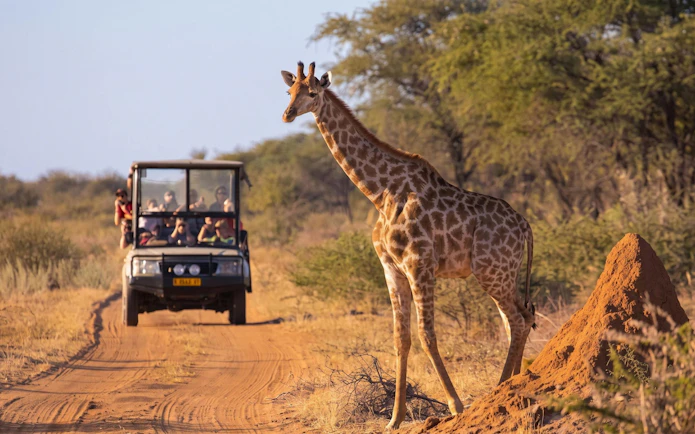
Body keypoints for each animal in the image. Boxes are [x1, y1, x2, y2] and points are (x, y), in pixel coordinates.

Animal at [281, 62, 535, 430]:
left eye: (312, 93)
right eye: (289, 91)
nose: (287, 114)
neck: (380, 194)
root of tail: (525, 226)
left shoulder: (419, 264)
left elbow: (426, 334)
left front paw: (456, 406)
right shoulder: (392, 268)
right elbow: (401, 339)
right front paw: (394, 418)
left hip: (491, 272)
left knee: (516, 320)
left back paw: (500, 389)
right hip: (504, 273)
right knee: (520, 317)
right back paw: (513, 383)